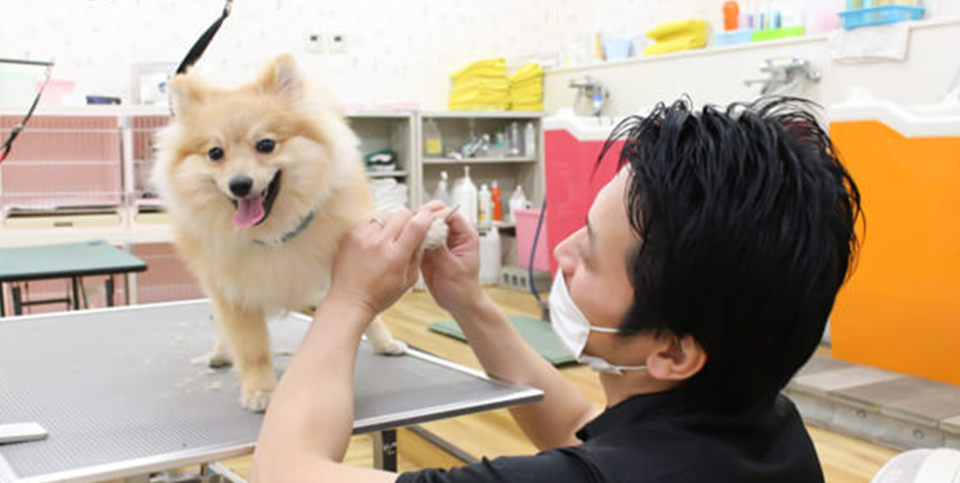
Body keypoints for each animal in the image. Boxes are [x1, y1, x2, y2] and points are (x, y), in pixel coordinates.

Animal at [154, 55, 446, 412]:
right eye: (215, 153)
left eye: (266, 145)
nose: (240, 184)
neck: (275, 231)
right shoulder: (233, 291)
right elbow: (251, 348)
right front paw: (260, 389)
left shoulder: (343, 229)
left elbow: (377, 226)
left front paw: (429, 228)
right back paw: (221, 353)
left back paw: (385, 343)